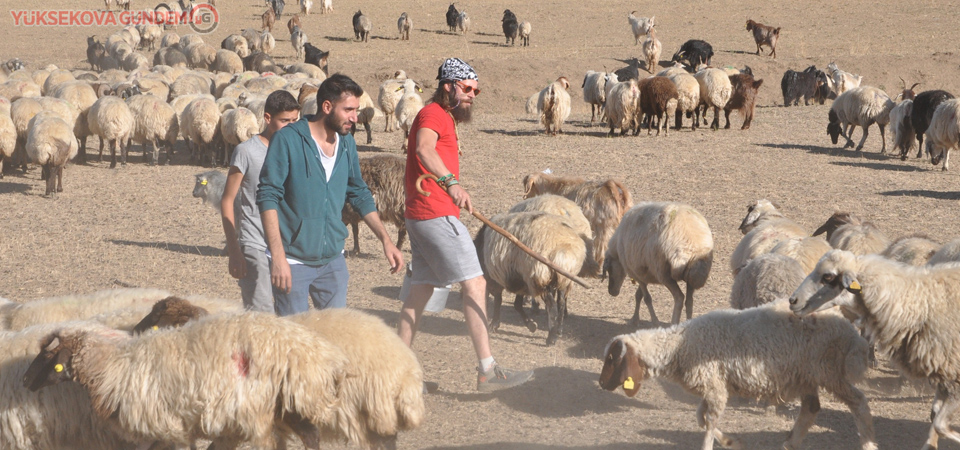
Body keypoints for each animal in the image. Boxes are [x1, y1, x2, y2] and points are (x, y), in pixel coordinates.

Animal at [23, 312, 348, 450]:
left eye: (48, 357)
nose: (25, 380)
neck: (114, 367)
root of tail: (318, 355)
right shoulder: (182, 426)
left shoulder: (170, 424)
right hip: (286, 404)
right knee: (310, 436)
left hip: (258, 409)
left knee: (272, 442)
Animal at [474, 211, 584, 344]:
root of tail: (563, 248)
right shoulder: (521, 280)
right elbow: (516, 304)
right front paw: (531, 325)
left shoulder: (497, 279)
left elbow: (499, 301)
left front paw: (494, 325)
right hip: (562, 279)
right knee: (561, 303)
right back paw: (559, 330)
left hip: (539, 277)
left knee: (552, 306)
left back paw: (551, 338)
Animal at [600, 302, 876, 450]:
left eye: (612, 359)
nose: (601, 383)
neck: (679, 346)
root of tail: (848, 328)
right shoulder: (714, 386)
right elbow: (701, 417)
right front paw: (730, 441)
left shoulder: (715, 387)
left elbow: (708, 421)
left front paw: (710, 445)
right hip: (807, 375)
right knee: (811, 408)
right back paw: (791, 443)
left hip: (829, 372)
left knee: (859, 403)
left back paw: (869, 444)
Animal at [788, 250, 960, 450]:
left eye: (828, 276)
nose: (792, 300)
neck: (917, 303)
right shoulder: (944, 374)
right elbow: (935, 416)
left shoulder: (954, 377)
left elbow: (940, 424)